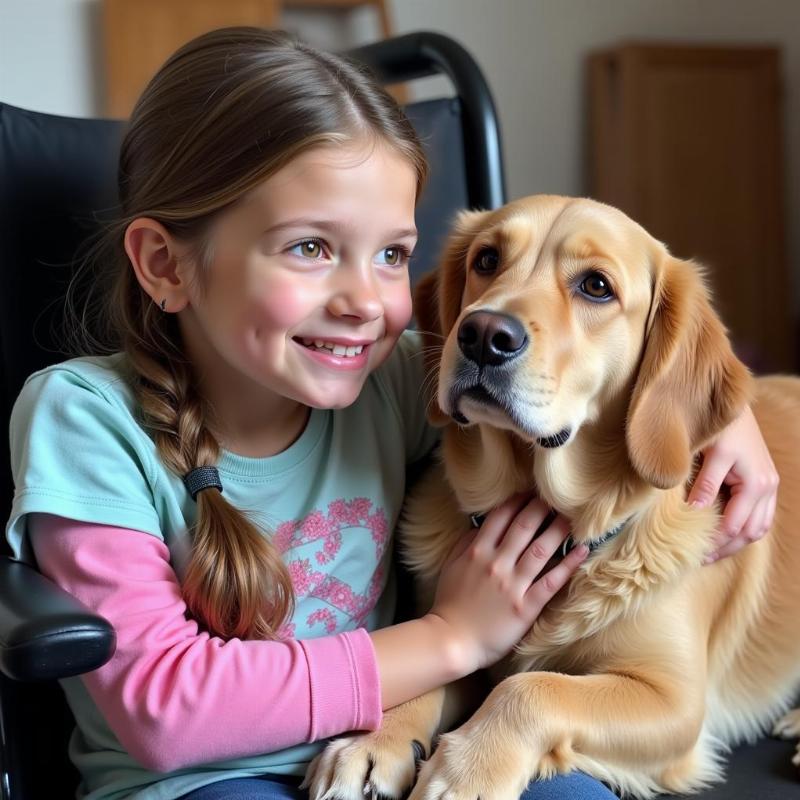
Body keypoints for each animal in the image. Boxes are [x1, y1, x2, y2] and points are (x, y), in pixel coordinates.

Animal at [304, 195, 800, 800]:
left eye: (596, 286)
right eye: (487, 259)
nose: (482, 334)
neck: (556, 517)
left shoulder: (676, 700)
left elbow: (535, 687)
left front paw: (468, 770)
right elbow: (433, 660)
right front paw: (373, 742)